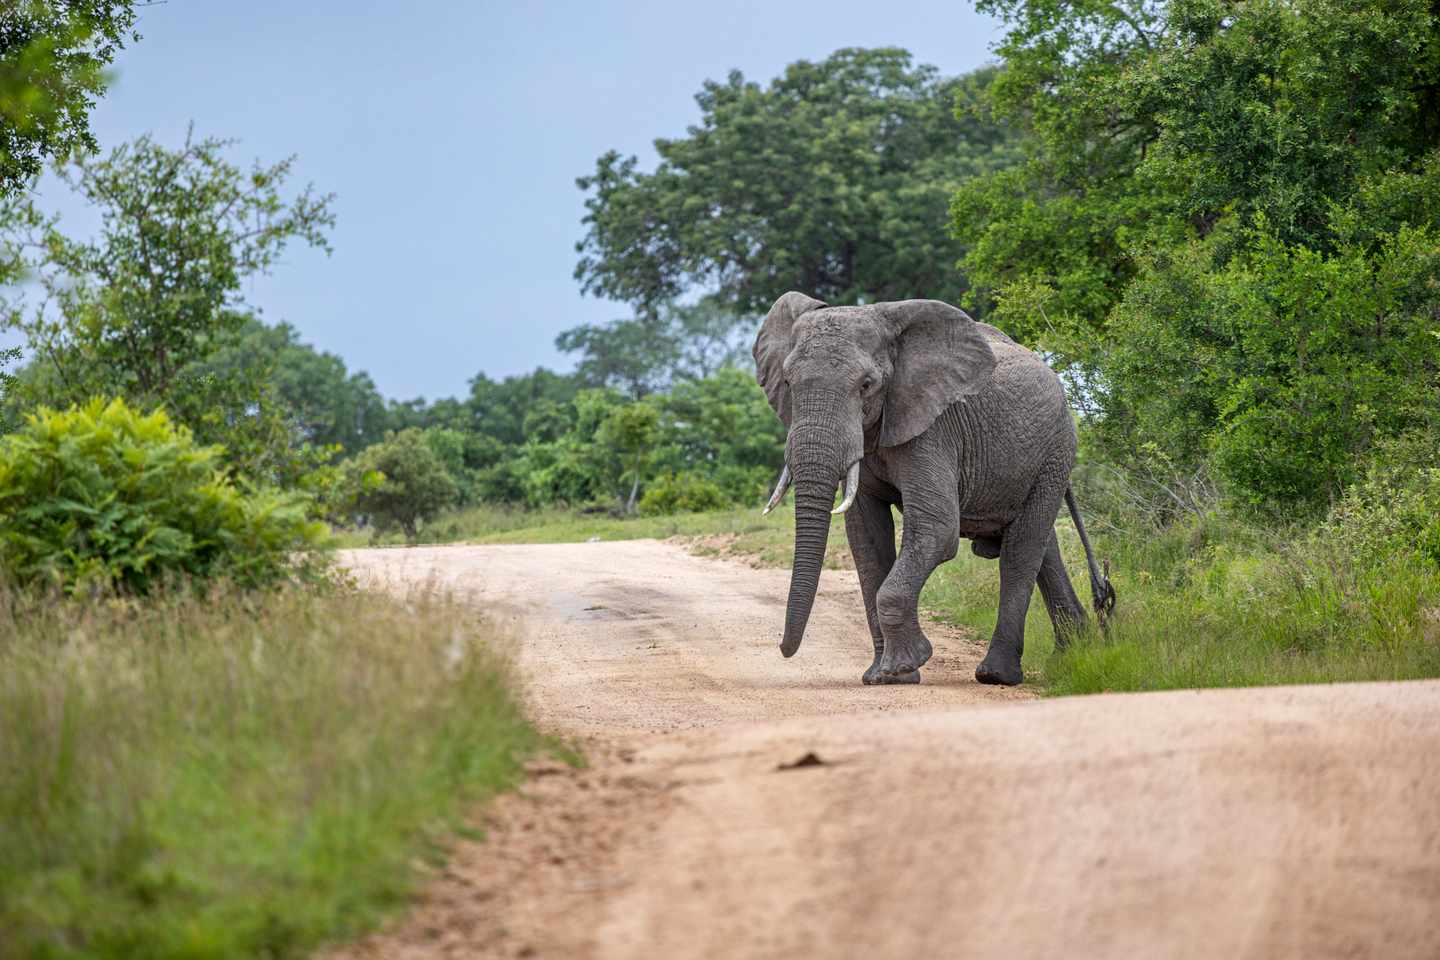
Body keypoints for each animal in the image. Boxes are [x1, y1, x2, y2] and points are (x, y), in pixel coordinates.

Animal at [753, 292, 1115, 686]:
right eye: (788, 383)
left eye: (866, 385)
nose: (783, 648)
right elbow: (866, 539)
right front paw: (883, 676)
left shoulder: (935, 429)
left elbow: (937, 529)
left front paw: (901, 666)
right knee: (1043, 546)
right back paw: (1071, 656)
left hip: (1055, 451)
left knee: (1022, 549)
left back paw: (997, 675)